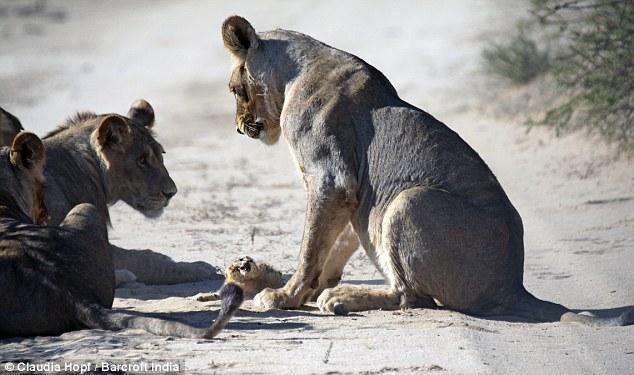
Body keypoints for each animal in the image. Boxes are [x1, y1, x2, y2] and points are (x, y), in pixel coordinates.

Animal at [220, 15, 628, 326]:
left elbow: (310, 248)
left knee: (411, 297)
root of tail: (514, 284)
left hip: (409, 200)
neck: (291, 76)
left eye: (234, 90)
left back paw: (343, 298)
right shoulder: (354, 194)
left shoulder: (330, 178)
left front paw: (284, 295)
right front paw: (311, 288)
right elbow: (335, 243)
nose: (238, 128)